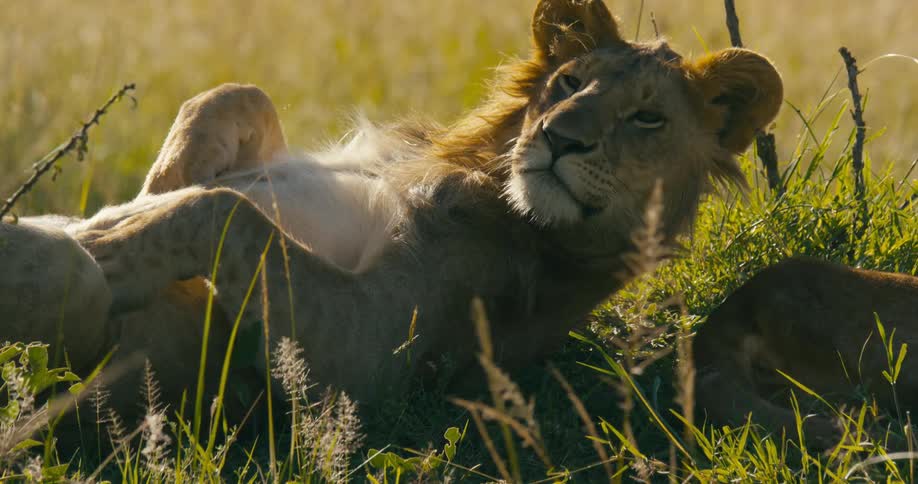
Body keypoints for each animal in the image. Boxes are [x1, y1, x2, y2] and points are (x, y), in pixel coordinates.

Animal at [1, 0, 783, 413]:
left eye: (648, 119)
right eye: (569, 82)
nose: (560, 138)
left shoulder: (375, 353)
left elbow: (223, 212)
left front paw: (112, 235)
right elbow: (231, 98)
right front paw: (153, 188)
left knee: (74, 274)